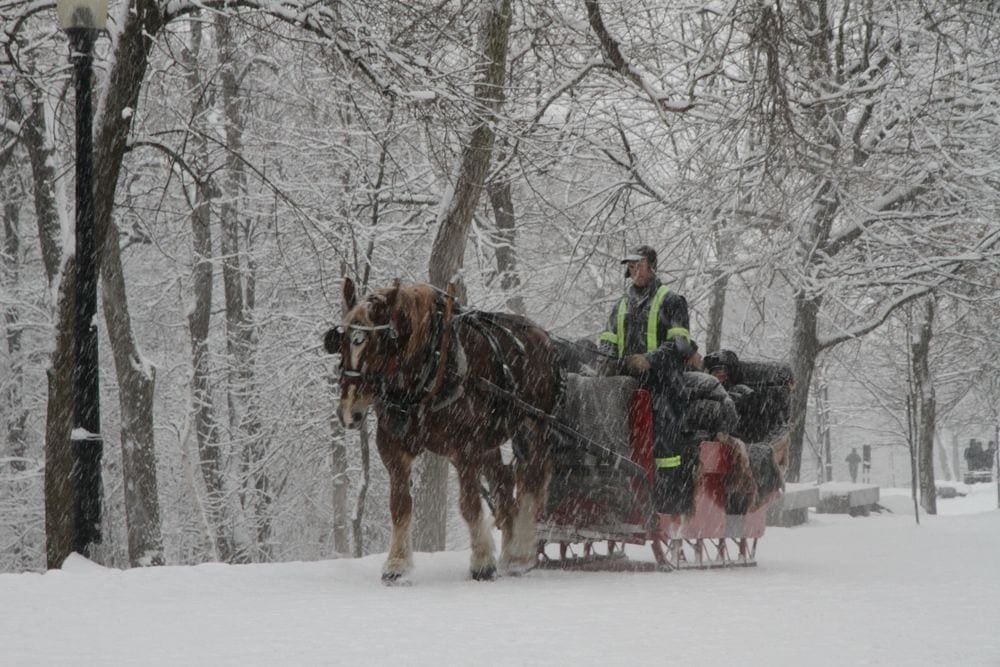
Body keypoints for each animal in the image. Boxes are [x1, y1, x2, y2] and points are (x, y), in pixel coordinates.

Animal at [324, 276, 568, 584]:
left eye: (381, 343)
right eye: (341, 340)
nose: (349, 412)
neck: (432, 366)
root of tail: (543, 337)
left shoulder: (465, 448)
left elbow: (469, 504)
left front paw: (482, 563)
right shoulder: (393, 447)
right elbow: (400, 506)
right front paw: (397, 564)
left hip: (532, 429)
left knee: (530, 484)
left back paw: (519, 556)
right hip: (489, 442)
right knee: (503, 484)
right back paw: (509, 553)